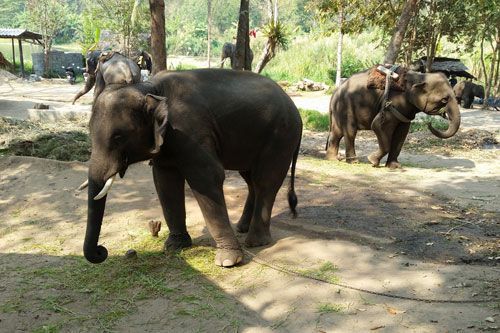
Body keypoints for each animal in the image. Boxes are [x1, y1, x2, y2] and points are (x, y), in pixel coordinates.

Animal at [82, 68, 302, 268]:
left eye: (118, 137)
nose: (102, 250)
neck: (150, 88)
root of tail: (294, 107)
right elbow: (165, 181)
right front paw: (174, 246)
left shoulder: (191, 129)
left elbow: (207, 176)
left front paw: (228, 261)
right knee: (250, 179)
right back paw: (242, 228)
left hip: (281, 135)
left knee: (264, 181)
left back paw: (256, 242)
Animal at [324, 67, 460, 169]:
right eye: (444, 100)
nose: (430, 124)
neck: (419, 76)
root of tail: (335, 92)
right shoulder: (392, 104)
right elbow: (377, 125)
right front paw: (372, 160)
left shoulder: (405, 111)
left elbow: (401, 134)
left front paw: (395, 166)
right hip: (346, 106)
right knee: (350, 132)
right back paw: (353, 162)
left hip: (339, 110)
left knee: (337, 132)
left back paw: (332, 159)